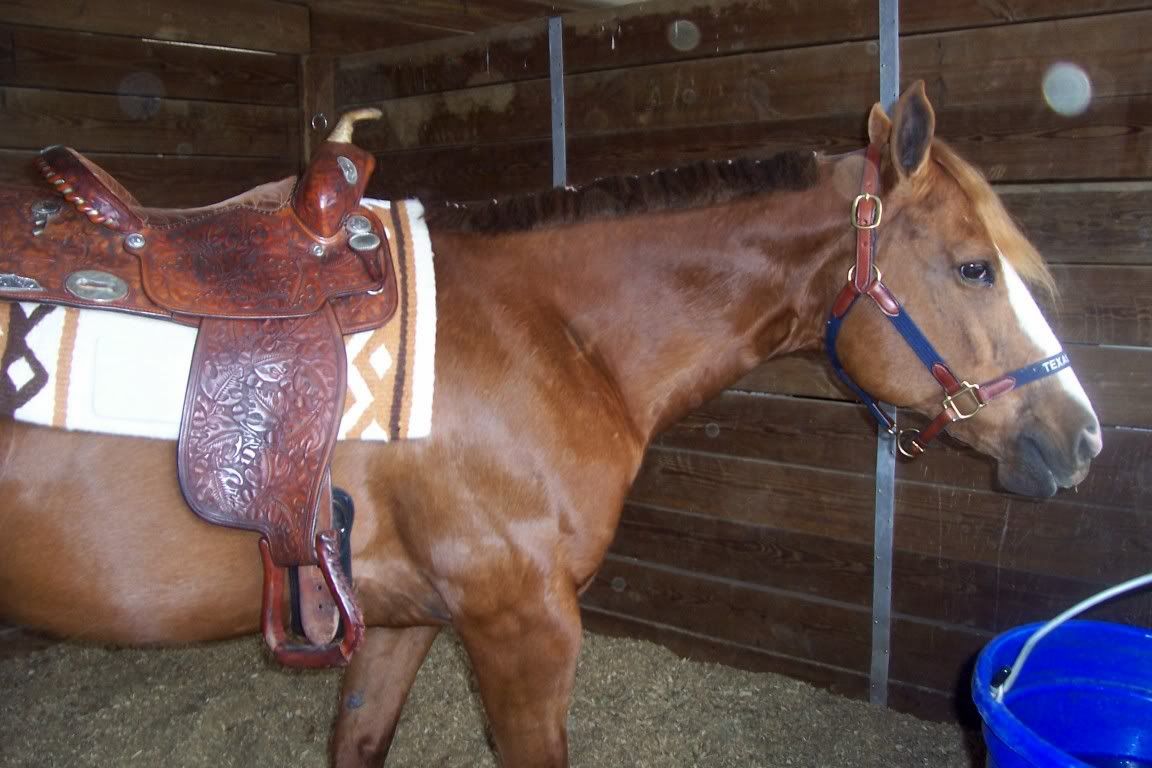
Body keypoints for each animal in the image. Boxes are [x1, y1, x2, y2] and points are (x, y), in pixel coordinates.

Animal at [0, 81, 1100, 767]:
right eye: (974, 266)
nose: (1082, 436)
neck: (542, 333)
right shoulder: (524, 633)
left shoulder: (406, 623)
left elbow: (360, 741)